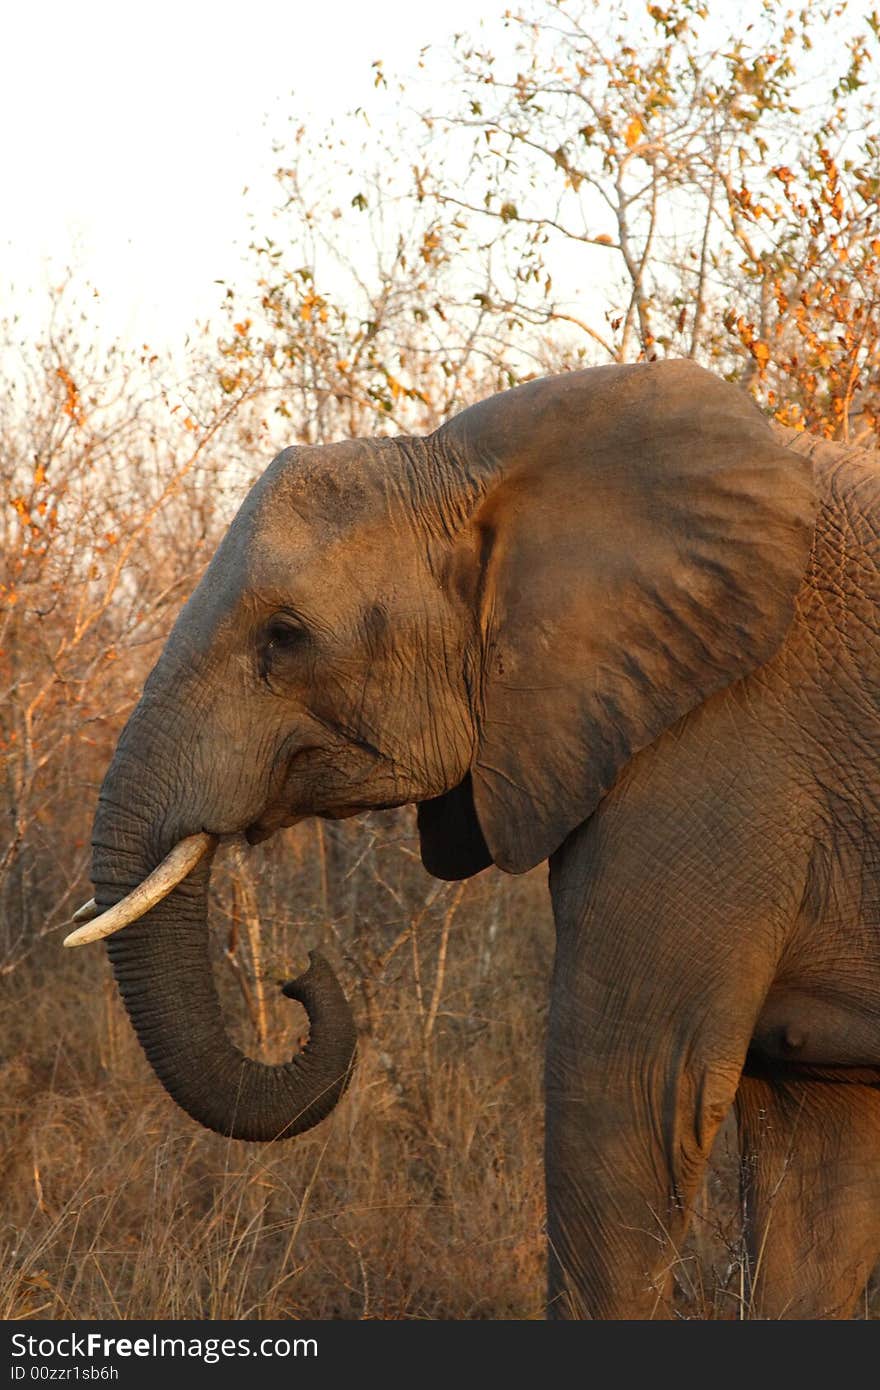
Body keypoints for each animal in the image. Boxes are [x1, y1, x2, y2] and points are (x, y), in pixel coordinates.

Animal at [67, 358, 878, 1312]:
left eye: (284, 636)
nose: (298, 975)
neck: (473, 465)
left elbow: (631, 1096)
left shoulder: (723, 749)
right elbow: (814, 1167)